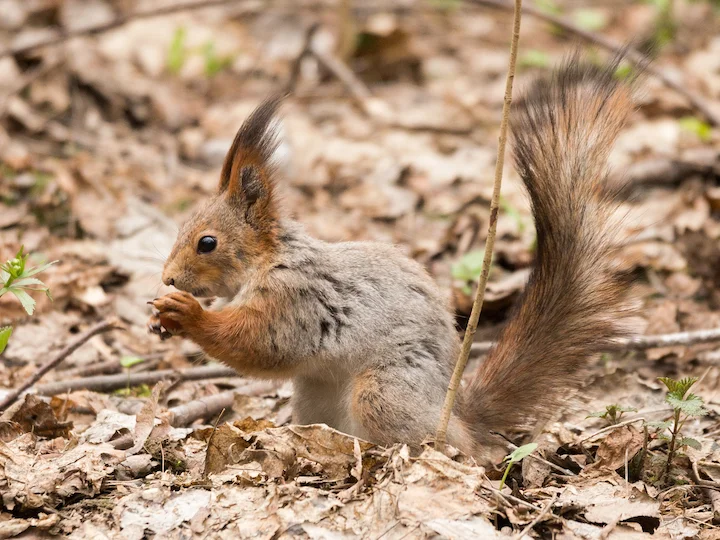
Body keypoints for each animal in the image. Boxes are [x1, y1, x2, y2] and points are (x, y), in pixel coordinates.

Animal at [148, 56, 636, 466]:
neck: (270, 260)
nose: (168, 278)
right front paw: (161, 320)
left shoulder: (296, 299)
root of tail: (454, 409)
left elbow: (261, 343)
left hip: (385, 391)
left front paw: (187, 313)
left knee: (456, 446)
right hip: (316, 394)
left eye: (206, 242)